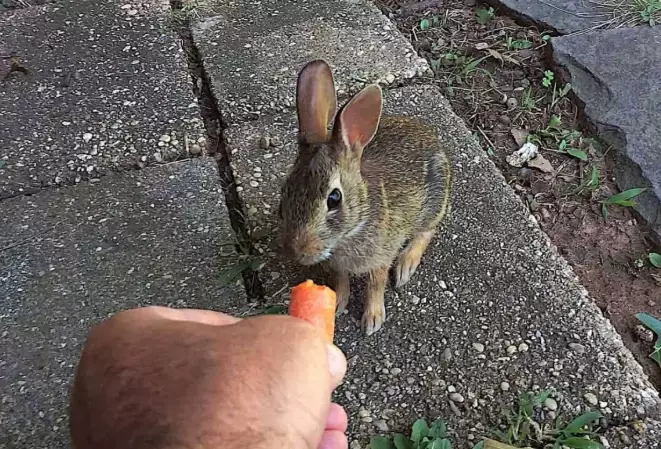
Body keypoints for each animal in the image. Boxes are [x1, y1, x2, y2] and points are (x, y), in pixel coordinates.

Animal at [278, 59, 451, 336]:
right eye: (285, 191)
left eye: (334, 199)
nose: (300, 252)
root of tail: (433, 139)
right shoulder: (338, 266)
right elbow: (341, 281)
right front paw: (338, 304)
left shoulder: (381, 255)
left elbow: (375, 284)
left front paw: (372, 319)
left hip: (434, 202)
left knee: (427, 231)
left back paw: (405, 266)